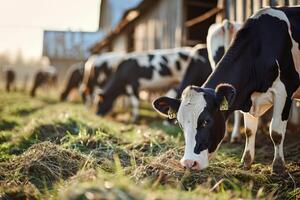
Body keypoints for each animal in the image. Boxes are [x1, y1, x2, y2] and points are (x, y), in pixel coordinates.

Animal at [154, 7, 300, 174]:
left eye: (206, 121)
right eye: (180, 123)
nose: (189, 163)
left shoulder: (285, 90)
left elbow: (276, 131)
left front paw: (278, 166)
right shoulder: (246, 96)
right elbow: (250, 129)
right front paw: (246, 161)